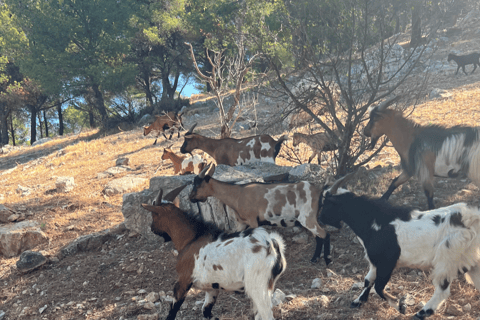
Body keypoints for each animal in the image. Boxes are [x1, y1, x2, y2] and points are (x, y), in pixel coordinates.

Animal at [141, 185, 286, 320]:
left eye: (153, 215)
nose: (151, 228)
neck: (192, 239)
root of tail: (273, 244)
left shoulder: (183, 281)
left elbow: (173, 311)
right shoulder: (212, 288)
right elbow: (206, 311)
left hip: (258, 287)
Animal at [189, 164, 332, 264]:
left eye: (197, 184)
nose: (191, 198)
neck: (238, 194)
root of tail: (318, 191)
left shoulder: (253, 221)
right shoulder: (242, 223)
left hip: (307, 218)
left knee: (325, 234)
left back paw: (327, 260)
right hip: (309, 219)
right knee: (319, 237)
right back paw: (314, 259)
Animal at [318, 175, 480, 320]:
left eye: (326, 203)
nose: (319, 219)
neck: (375, 222)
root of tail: (471, 219)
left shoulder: (387, 262)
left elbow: (378, 287)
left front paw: (400, 306)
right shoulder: (375, 261)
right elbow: (368, 280)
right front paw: (358, 301)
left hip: (447, 258)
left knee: (442, 290)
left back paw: (422, 313)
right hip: (470, 259)